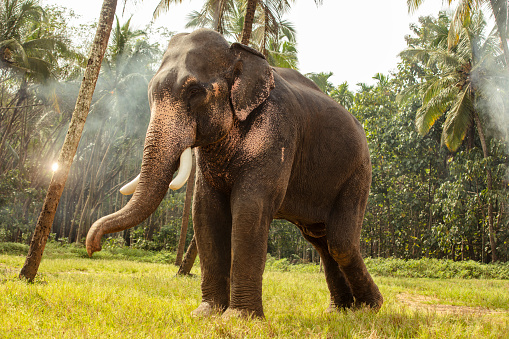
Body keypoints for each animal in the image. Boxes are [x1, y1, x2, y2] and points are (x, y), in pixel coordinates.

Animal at [86, 28, 380, 318]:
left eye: (194, 91)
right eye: (150, 92)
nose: (93, 246)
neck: (237, 52)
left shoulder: (277, 131)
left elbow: (250, 208)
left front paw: (239, 318)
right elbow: (205, 210)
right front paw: (206, 313)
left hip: (358, 173)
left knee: (340, 243)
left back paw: (370, 307)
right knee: (320, 241)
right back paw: (340, 310)